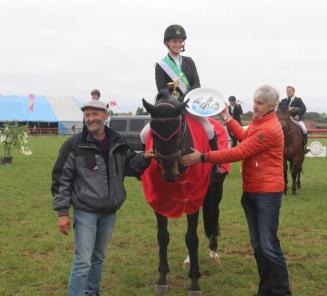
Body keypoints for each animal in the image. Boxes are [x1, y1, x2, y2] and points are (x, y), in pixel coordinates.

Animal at [142, 91, 229, 296]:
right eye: (154, 133)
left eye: (179, 130)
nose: (169, 173)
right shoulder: (159, 200)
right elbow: (163, 236)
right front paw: (162, 278)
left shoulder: (194, 197)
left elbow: (191, 238)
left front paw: (194, 283)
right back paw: (189, 259)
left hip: (215, 191)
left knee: (213, 216)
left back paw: (213, 253)